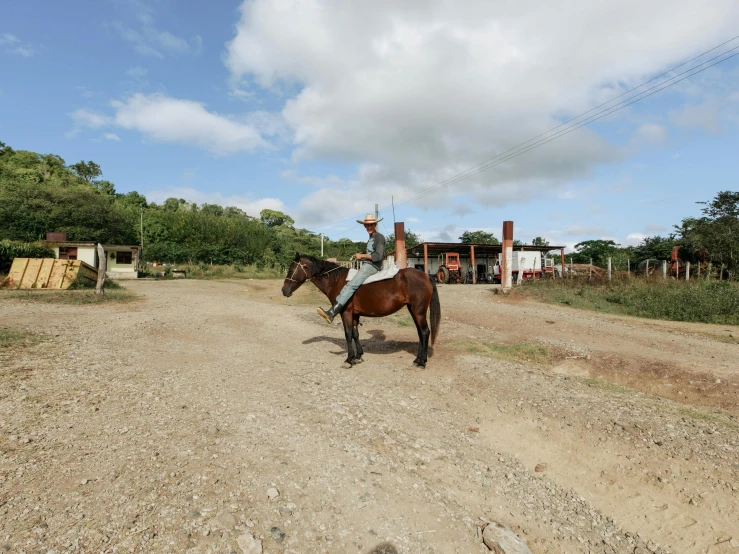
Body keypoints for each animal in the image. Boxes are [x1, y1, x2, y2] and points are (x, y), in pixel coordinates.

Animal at [284, 254, 442, 366]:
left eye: (291, 269)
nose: (284, 290)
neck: (337, 280)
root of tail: (426, 275)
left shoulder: (346, 312)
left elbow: (348, 334)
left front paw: (349, 359)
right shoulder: (354, 314)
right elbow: (355, 334)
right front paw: (358, 356)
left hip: (418, 311)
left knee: (425, 332)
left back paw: (421, 362)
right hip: (413, 310)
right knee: (420, 333)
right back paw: (418, 359)